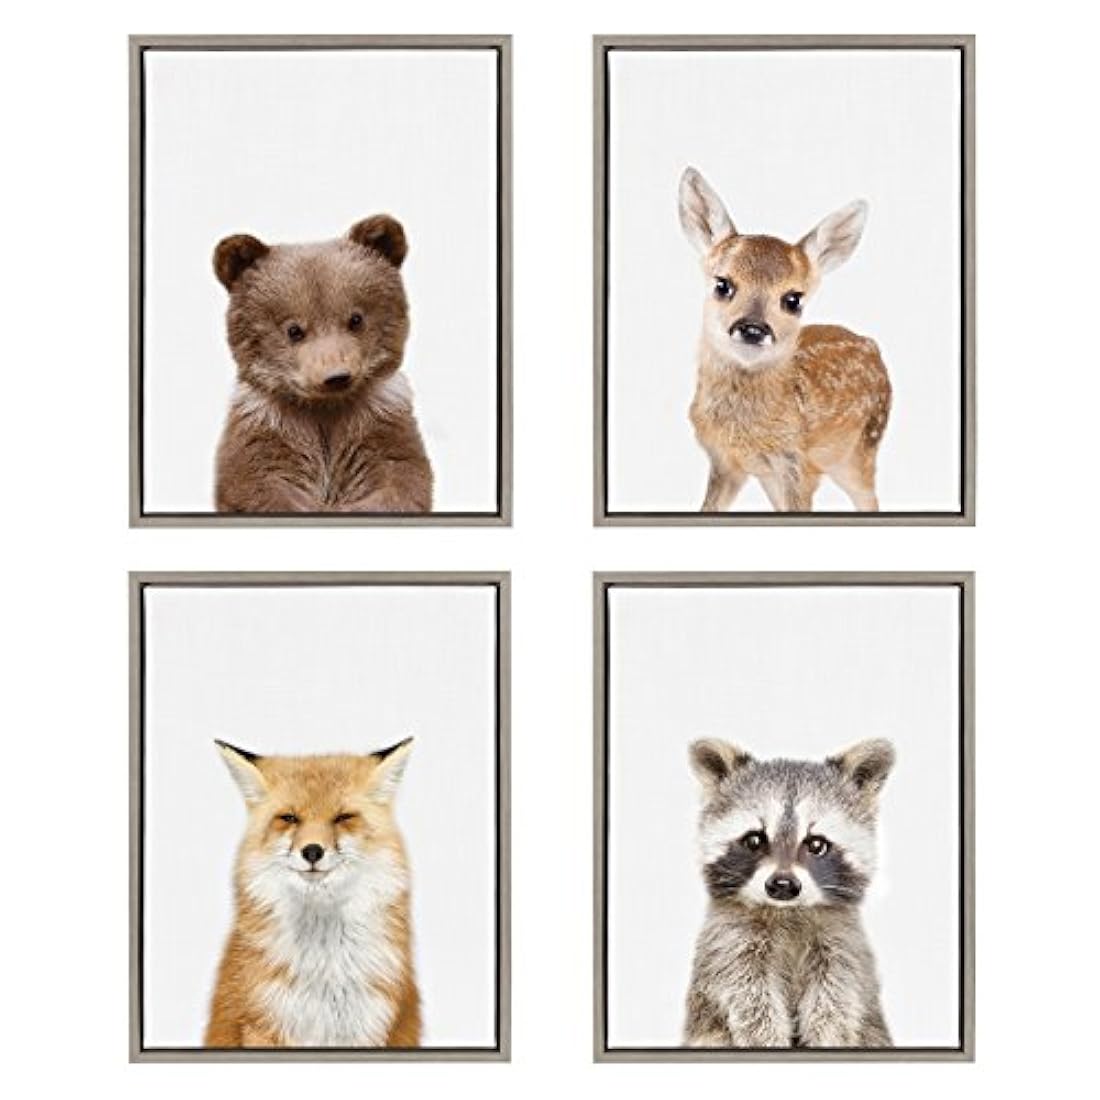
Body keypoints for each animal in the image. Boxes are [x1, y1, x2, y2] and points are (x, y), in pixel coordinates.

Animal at [683, 738, 895, 1049]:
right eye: (754, 839)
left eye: (816, 844)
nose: (782, 885)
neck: (788, 912)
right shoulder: (729, 940)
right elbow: (748, 994)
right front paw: (765, 1038)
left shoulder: (842, 943)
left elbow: (836, 998)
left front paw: (826, 1037)